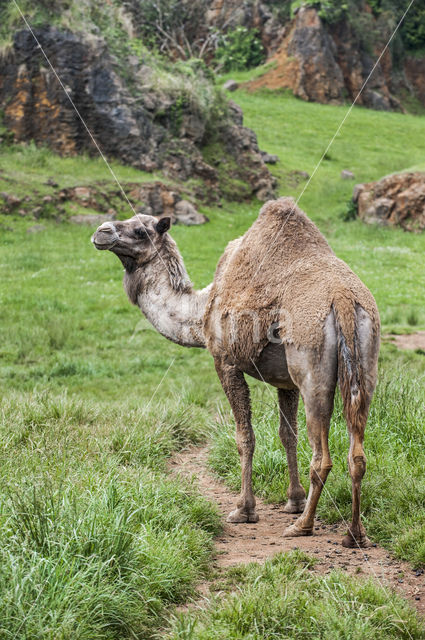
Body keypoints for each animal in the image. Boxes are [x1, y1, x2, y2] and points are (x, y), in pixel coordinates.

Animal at [92, 198, 378, 548]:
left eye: (140, 231)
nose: (102, 232)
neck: (200, 310)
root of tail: (343, 299)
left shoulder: (225, 362)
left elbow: (245, 437)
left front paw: (244, 509)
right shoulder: (287, 382)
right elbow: (287, 435)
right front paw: (293, 500)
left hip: (313, 374)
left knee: (323, 455)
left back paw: (304, 526)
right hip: (365, 365)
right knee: (357, 452)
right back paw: (354, 533)